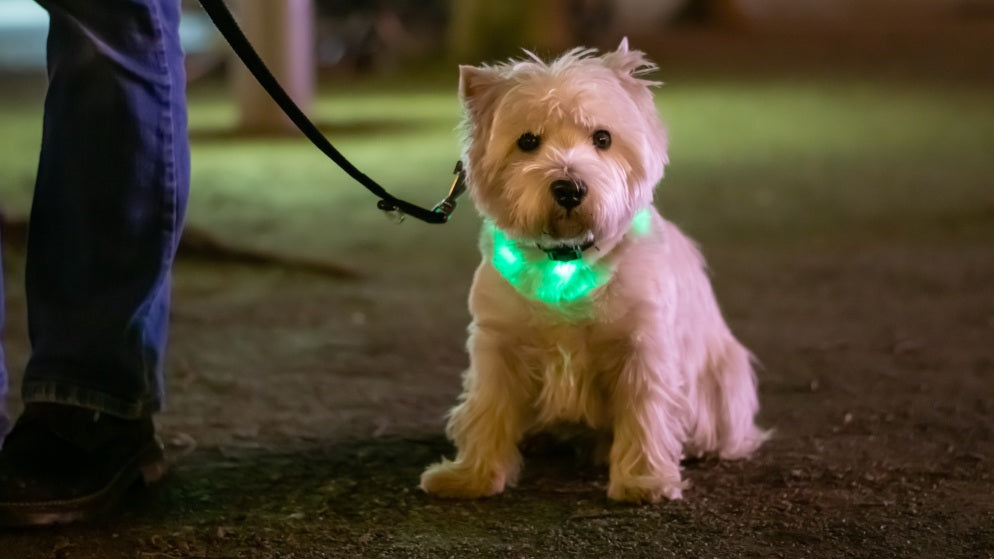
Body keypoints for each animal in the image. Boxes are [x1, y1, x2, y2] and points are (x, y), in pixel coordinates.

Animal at [418, 39, 768, 504]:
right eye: (527, 141)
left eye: (603, 138)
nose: (570, 188)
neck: (566, 259)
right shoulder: (498, 344)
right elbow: (487, 407)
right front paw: (471, 476)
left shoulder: (641, 347)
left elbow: (644, 411)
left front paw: (644, 481)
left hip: (724, 380)